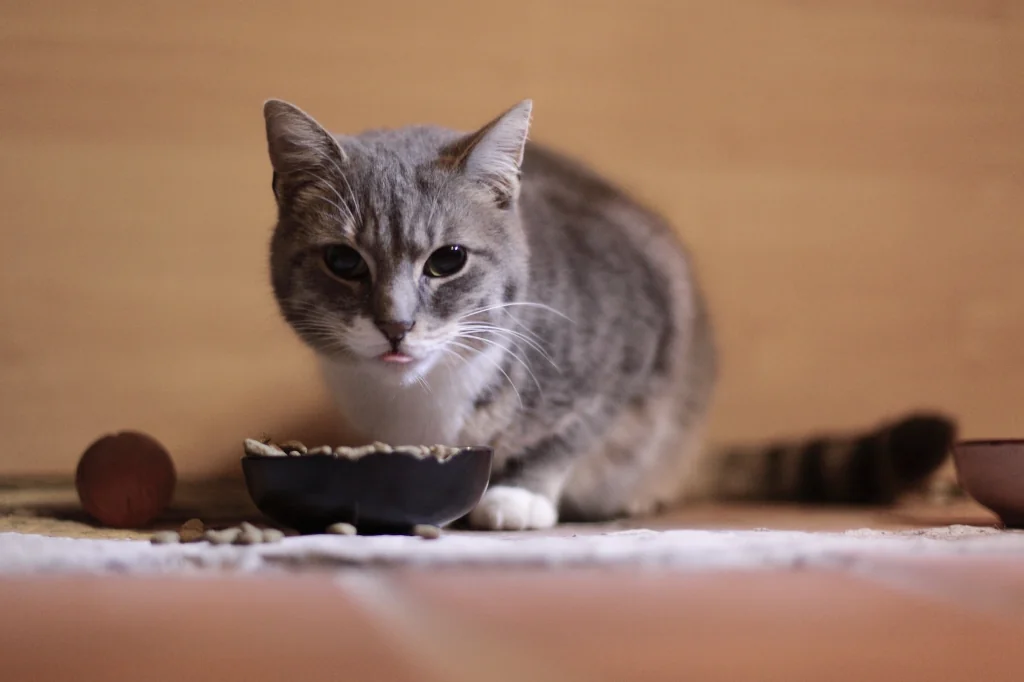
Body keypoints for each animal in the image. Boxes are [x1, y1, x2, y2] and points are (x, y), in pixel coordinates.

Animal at [260, 98, 954, 528]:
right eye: (343, 262)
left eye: (448, 260)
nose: (396, 325)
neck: (426, 396)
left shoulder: (635, 351)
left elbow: (574, 435)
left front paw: (519, 496)